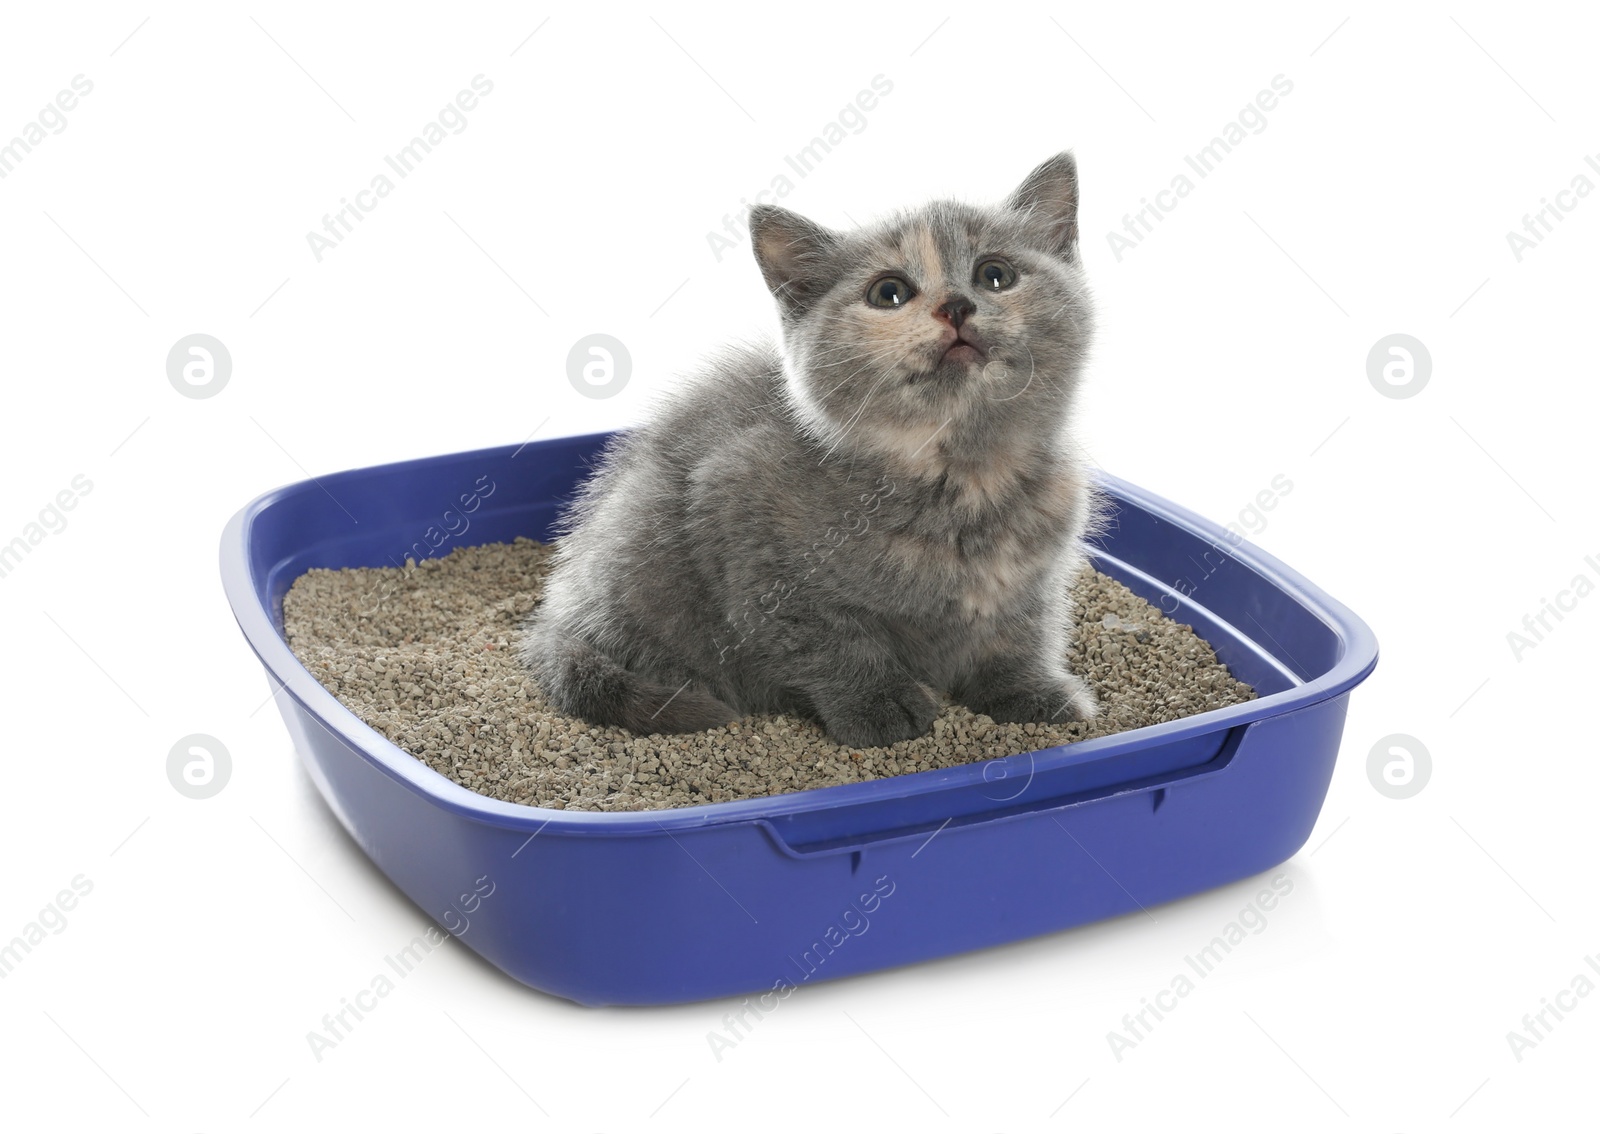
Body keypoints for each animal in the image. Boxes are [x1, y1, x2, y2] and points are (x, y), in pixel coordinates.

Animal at [521, 152, 1100, 751]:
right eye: (889, 292)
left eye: (995, 275)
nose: (956, 306)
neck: (963, 473)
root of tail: (556, 613)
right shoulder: (746, 530)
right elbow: (828, 641)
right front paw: (880, 704)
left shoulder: (1036, 577)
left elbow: (1020, 635)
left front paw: (1031, 692)